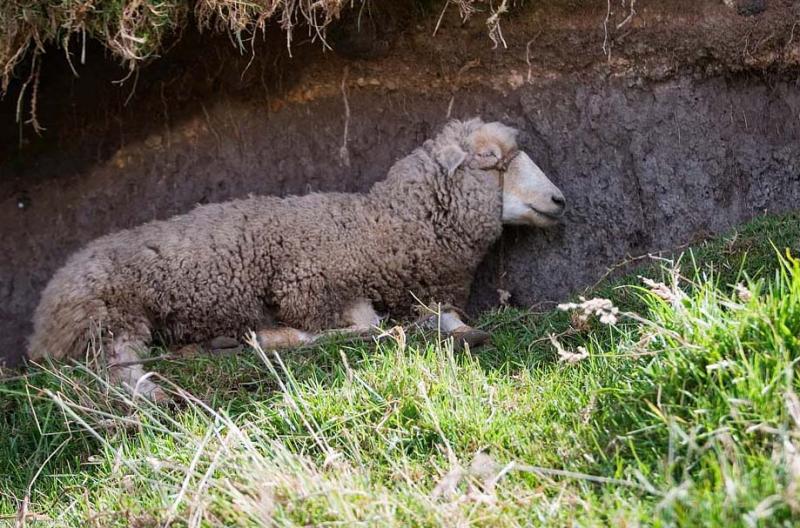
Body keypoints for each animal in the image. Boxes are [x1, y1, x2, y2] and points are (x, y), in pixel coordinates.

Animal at [28, 118, 564, 400]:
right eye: (494, 161)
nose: (560, 200)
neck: (380, 226)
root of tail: (39, 323)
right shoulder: (311, 287)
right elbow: (369, 327)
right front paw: (274, 338)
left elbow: (442, 319)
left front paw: (466, 333)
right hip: (109, 316)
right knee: (117, 369)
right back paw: (171, 382)